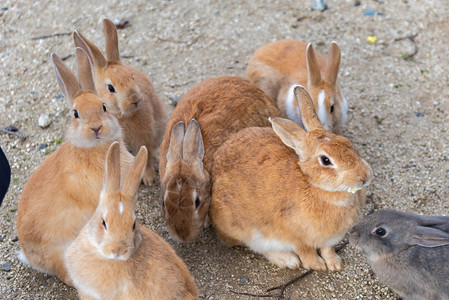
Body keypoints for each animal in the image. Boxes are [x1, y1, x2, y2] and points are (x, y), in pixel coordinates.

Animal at [73, 18, 168, 185]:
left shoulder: (145, 137)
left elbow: (147, 155)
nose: (134, 99)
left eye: (131, 77)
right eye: (111, 88)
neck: (122, 115)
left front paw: (149, 179)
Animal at [208, 85, 370, 272]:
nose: (365, 176)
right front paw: (317, 266)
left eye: (346, 142)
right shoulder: (296, 237)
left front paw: (335, 264)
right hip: (246, 230)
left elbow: (327, 249)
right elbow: (306, 252)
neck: (318, 188)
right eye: (326, 160)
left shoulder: (329, 239)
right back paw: (288, 260)